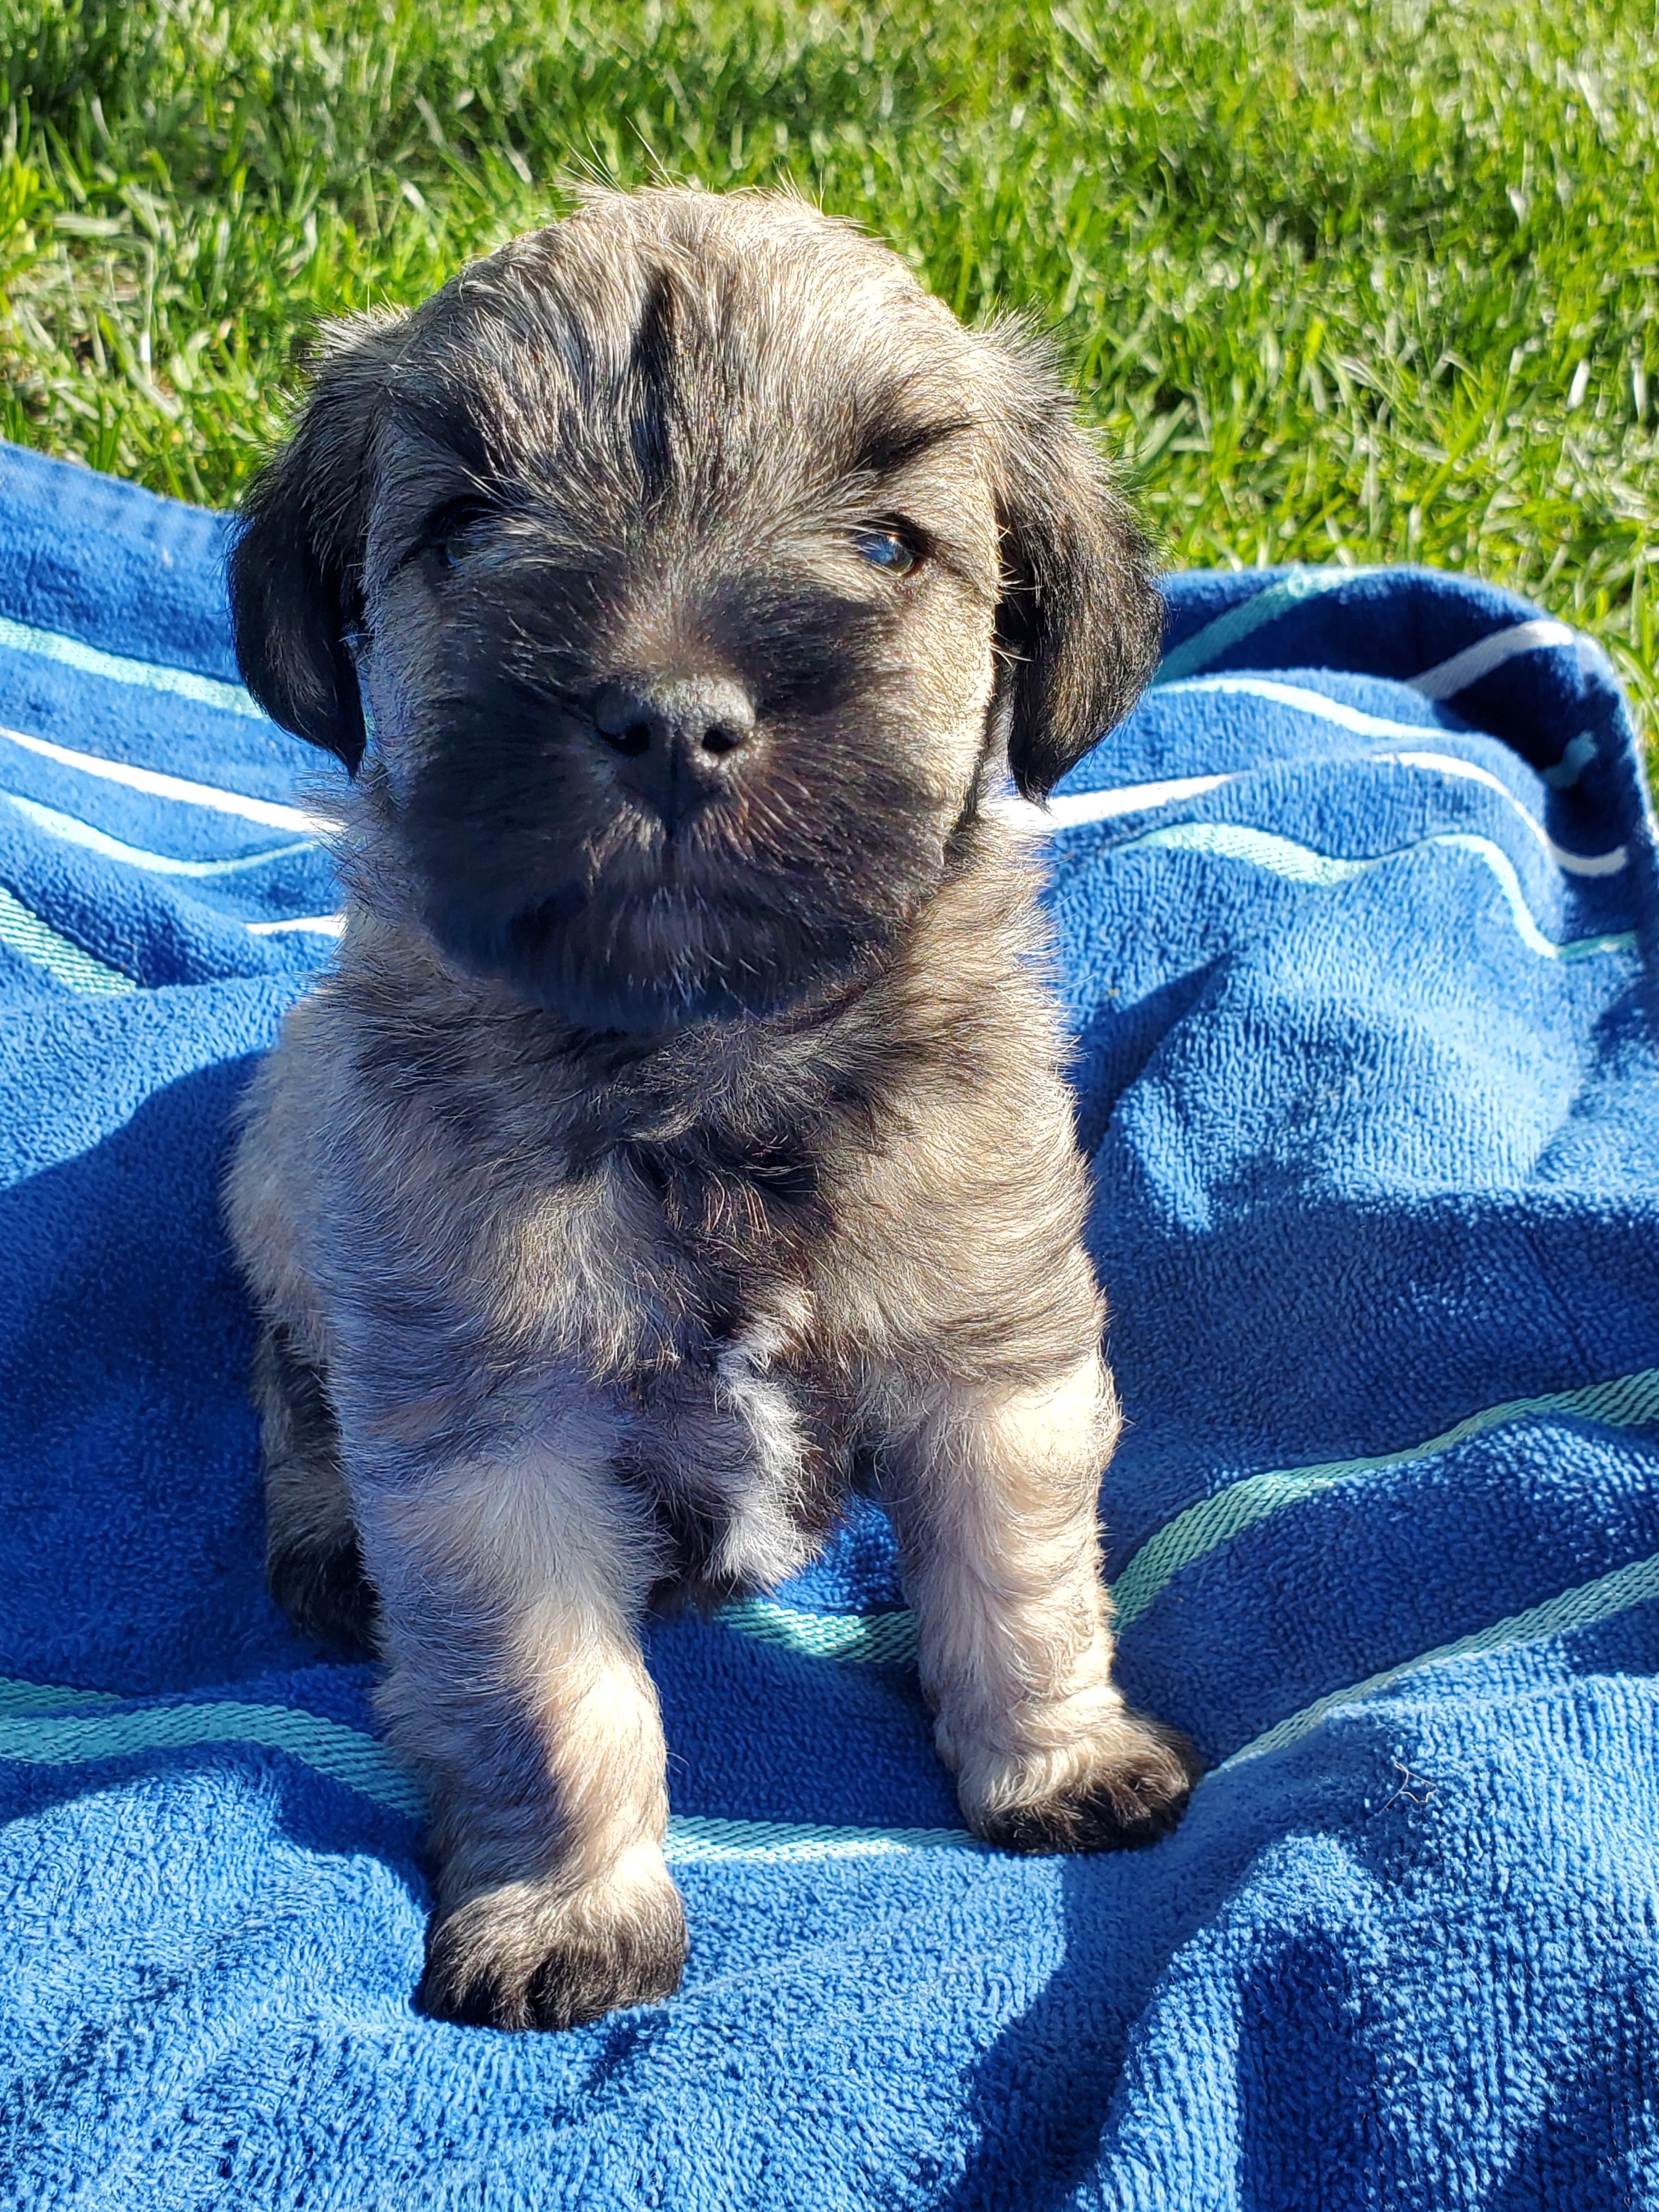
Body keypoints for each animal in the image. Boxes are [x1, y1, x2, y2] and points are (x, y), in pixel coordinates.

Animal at [224, 185, 1199, 2034]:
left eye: (888, 546)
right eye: (464, 528)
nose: (673, 722)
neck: (703, 1074)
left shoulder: (996, 1361)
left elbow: (1023, 1584)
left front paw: (1055, 1761)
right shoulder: (490, 1443)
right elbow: (548, 1701)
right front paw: (571, 1913)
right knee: (291, 1394)